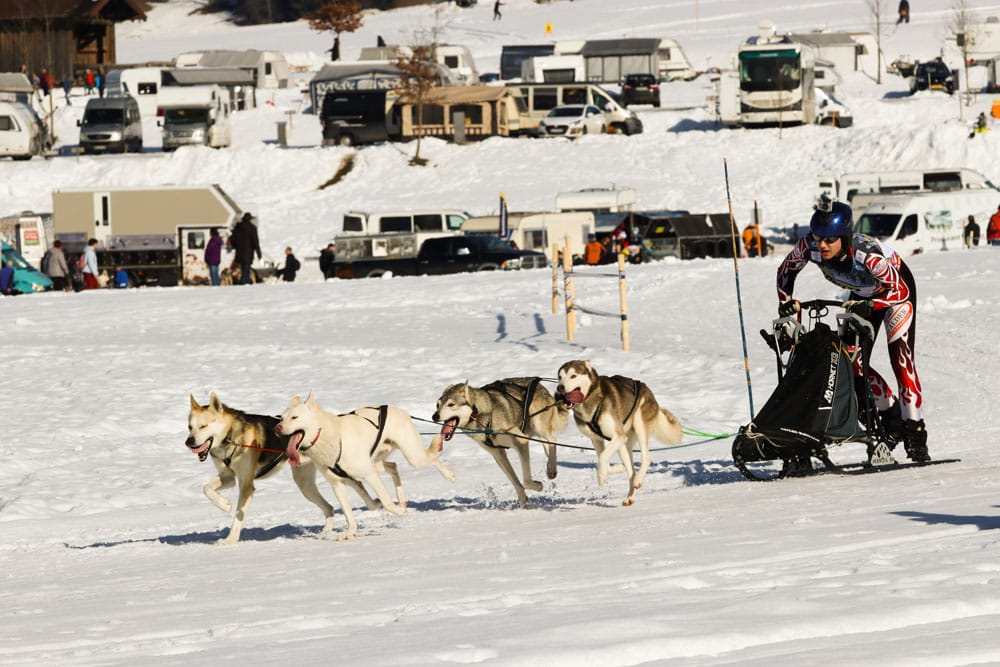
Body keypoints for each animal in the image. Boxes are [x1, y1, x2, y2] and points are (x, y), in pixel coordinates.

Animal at [188, 394, 340, 544]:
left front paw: (230, 539)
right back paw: (325, 532)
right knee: (329, 508)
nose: (188, 441)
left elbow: (238, 516)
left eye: (203, 426)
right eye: (190, 427)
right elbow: (206, 488)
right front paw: (224, 504)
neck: (230, 436)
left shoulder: (246, 485)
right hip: (305, 485)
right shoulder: (228, 477)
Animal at [278, 394, 458, 540]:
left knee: (431, 457)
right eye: (281, 418)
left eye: (294, 417)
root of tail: (397, 409)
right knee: (393, 466)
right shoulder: (338, 484)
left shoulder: (369, 475)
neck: (331, 437)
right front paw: (351, 532)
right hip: (376, 462)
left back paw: (448, 475)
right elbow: (348, 512)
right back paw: (402, 500)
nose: (276, 428)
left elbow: (385, 501)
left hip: (412, 457)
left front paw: (399, 511)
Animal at [432, 378, 568, 508]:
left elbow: (526, 481)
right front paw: (523, 501)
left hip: (538, 426)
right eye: (437, 405)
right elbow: (515, 482)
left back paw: (551, 467)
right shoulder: (498, 454)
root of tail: (540, 385)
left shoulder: (521, 441)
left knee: (552, 440)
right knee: (546, 444)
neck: (479, 414)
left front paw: (537, 486)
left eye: (451, 404)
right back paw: (550, 468)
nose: (435, 416)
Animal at [552, 360, 684, 506]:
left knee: (646, 458)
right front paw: (616, 469)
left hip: (639, 426)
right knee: (631, 471)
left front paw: (601, 477)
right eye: (559, 377)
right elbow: (603, 459)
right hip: (623, 445)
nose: (560, 388)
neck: (591, 400)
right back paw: (630, 496)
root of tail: (646, 387)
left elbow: (603, 457)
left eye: (573, 376)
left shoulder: (618, 435)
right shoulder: (597, 439)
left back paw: (638, 480)